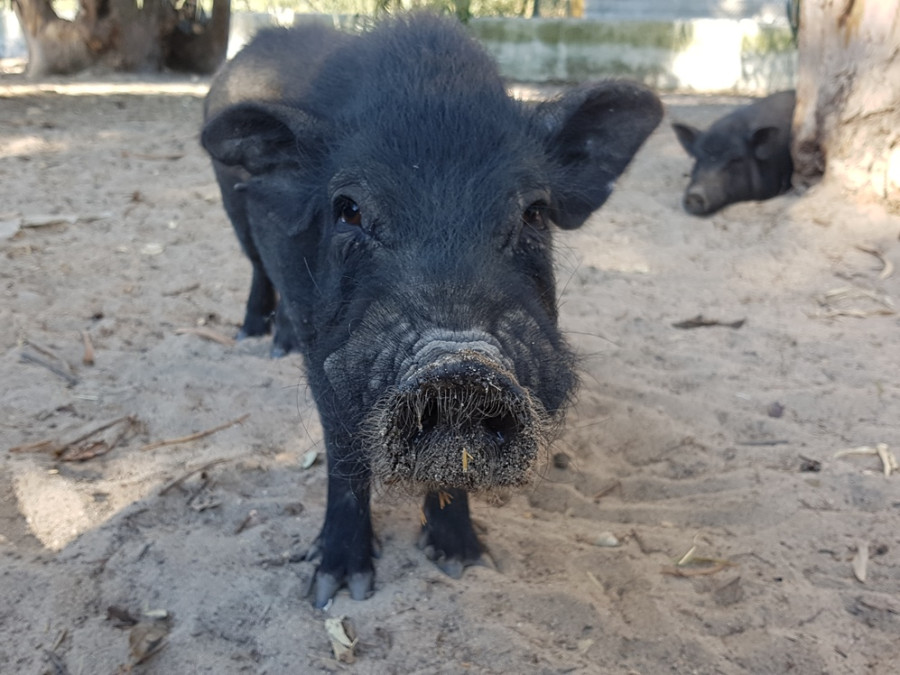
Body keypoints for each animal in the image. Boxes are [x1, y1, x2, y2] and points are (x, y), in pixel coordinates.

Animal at [200, 13, 660, 608]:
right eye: (348, 210)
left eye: (535, 212)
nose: (458, 364)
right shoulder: (327, 356)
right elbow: (342, 454)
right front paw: (336, 589)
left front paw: (464, 561)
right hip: (232, 203)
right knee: (257, 267)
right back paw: (259, 339)